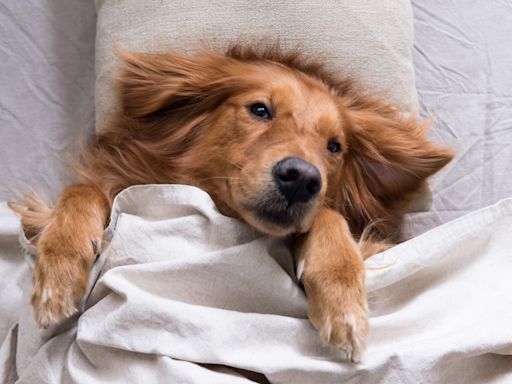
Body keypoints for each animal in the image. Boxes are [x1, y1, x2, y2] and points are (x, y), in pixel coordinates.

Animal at [10, 45, 452, 364]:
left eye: (334, 147)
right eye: (259, 109)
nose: (303, 178)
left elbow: (329, 215)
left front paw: (343, 304)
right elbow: (81, 191)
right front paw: (59, 271)